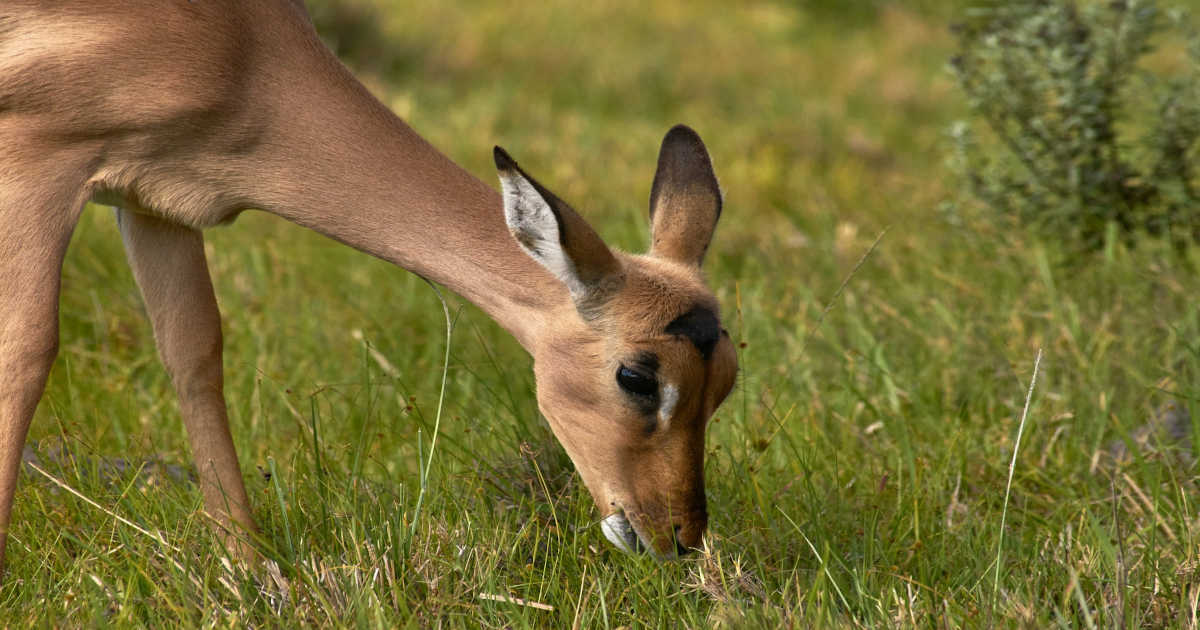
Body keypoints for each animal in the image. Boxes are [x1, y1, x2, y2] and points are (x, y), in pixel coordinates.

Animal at [0, 0, 737, 575]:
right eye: (637, 377)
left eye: (727, 379)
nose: (676, 537)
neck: (239, 45)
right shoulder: (40, 161)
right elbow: (28, 351)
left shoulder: (155, 200)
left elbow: (194, 357)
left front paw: (252, 570)